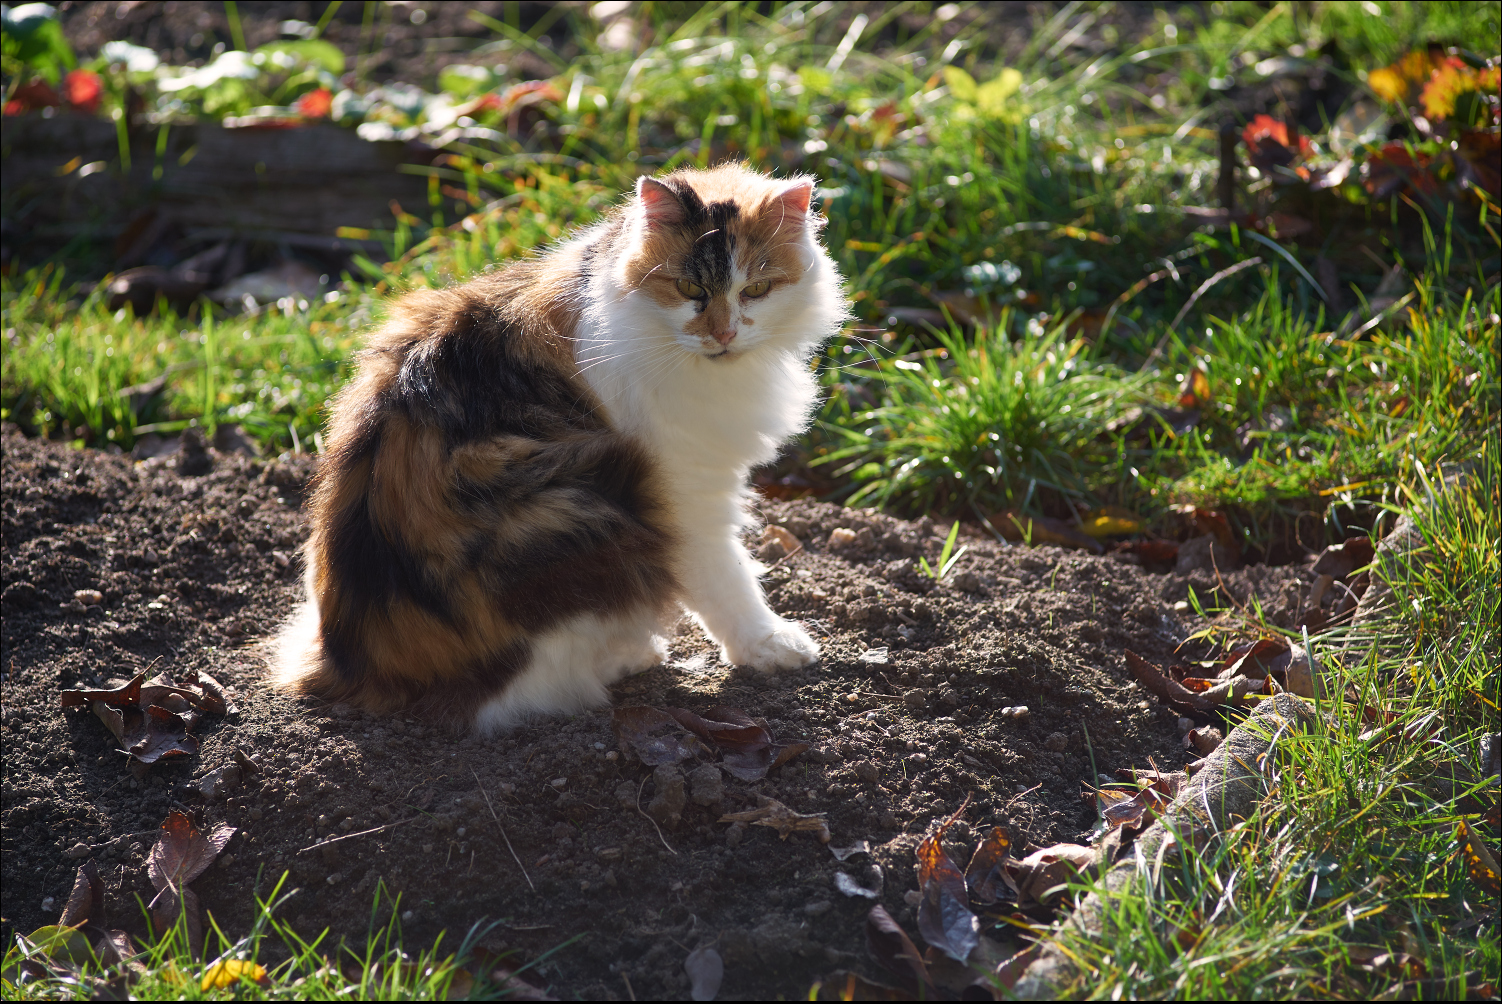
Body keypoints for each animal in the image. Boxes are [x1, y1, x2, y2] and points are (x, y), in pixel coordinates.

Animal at [272, 163, 848, 731]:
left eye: (757, 289)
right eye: (689, 287)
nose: (724, 335)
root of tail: (346, 662)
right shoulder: (685, 492)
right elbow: (728, 581)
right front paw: (769, 646)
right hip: (576, 506)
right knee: (533, 689)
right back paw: (631, 656)